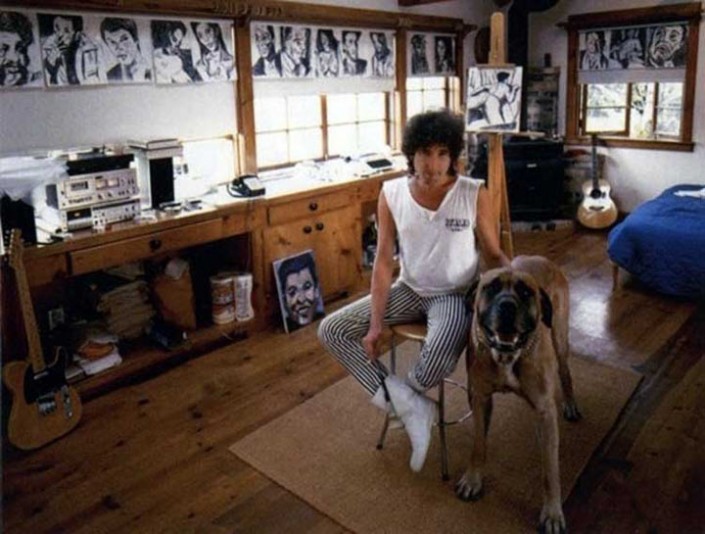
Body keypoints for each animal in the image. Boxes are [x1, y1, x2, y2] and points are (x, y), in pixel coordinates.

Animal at [455, 255, 581, 534]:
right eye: (491, 288)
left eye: (525, 292)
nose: (507, 306)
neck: (506, 356)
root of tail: (544, 260)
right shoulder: (480, 398)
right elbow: (478, 444)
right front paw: (473, 479)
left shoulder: (545, 412)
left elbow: (550, 469)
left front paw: (552, 512)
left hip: (560, 338)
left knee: (566, 371)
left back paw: (570, 403)